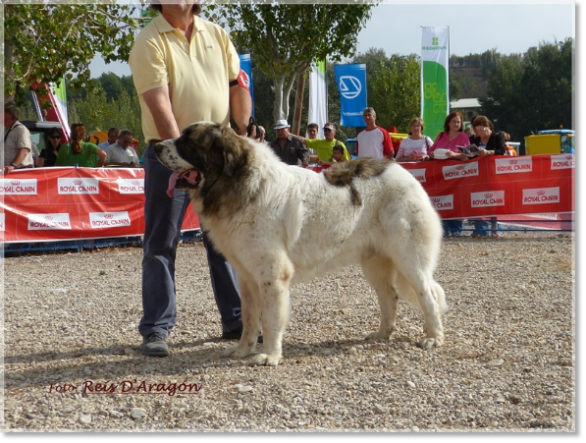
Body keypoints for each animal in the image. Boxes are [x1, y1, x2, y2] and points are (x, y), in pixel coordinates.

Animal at [153, 122, 444, 368]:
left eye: (188, 142)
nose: (154, 146)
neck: (240, 183)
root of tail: (405, 174)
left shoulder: (272, 274)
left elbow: (270, 319)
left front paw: (270, 356)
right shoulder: (246, 276)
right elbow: (249, 317)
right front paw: (243, 350)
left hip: (409, 258)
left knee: (428, 294)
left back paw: (434, 338)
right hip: (374, 262)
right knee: (389, 296)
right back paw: (382, 333)